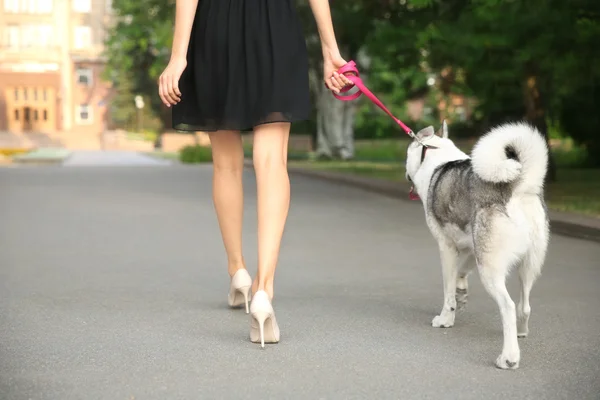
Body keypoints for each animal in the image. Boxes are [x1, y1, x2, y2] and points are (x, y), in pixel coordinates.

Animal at [406, 122, 552, 368]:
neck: (437, 157)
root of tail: (519, 187)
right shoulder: (473, 249)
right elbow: (461, 273)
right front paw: (462, 292)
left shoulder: (447, 247)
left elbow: (448, 292)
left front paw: (446, 319)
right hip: (527, 267)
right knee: (524, 306)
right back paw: (521, 333)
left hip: (491, 272)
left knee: (508, 307)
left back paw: (509, 358)